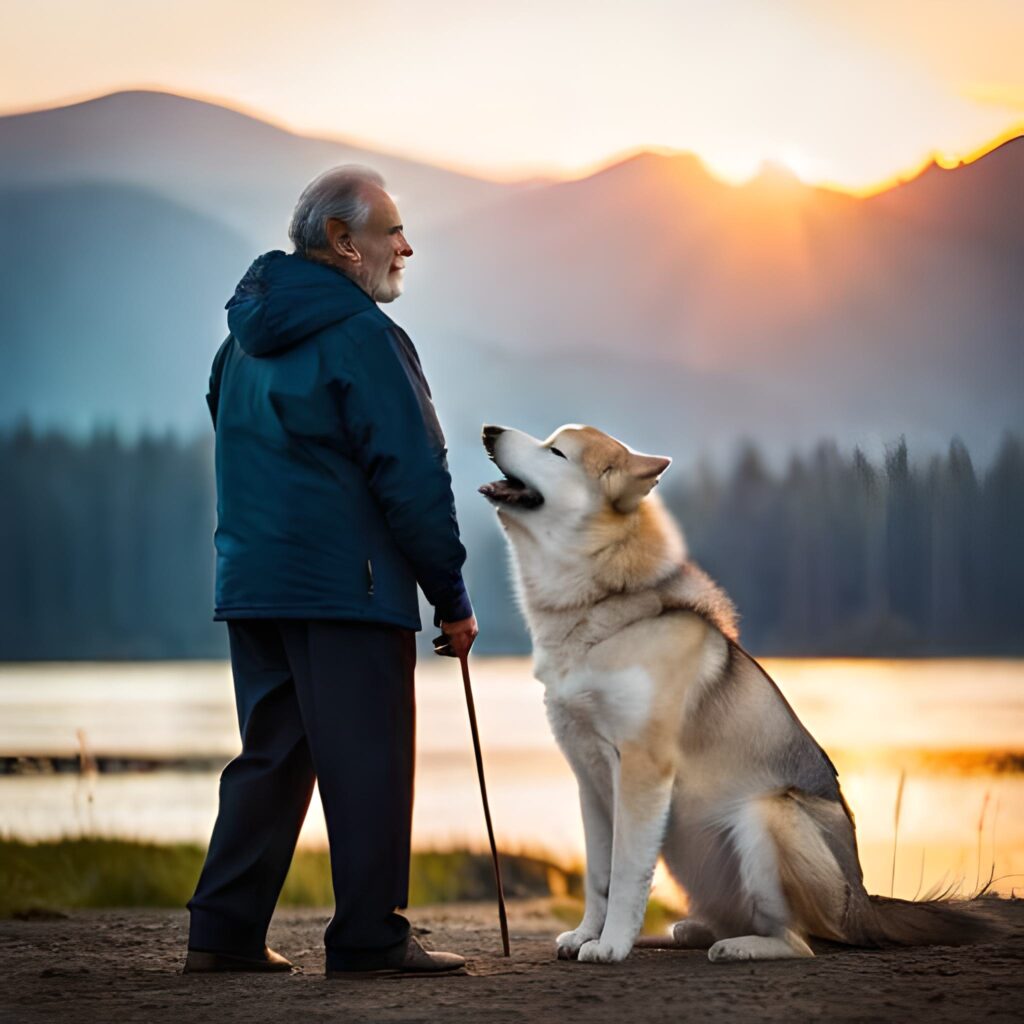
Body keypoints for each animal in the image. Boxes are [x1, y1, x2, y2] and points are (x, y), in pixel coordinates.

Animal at [479, 421, 991, 958]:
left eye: (555, 451)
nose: (490, 430)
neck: (600, 608)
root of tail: (865, 907)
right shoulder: (589, 778)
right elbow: (599, 875)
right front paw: (585, 935)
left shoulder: (642, 768)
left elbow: (625, 875)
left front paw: (612, 945)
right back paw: (697, 930)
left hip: (768, 814)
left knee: (800, 940)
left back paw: (742, 946)